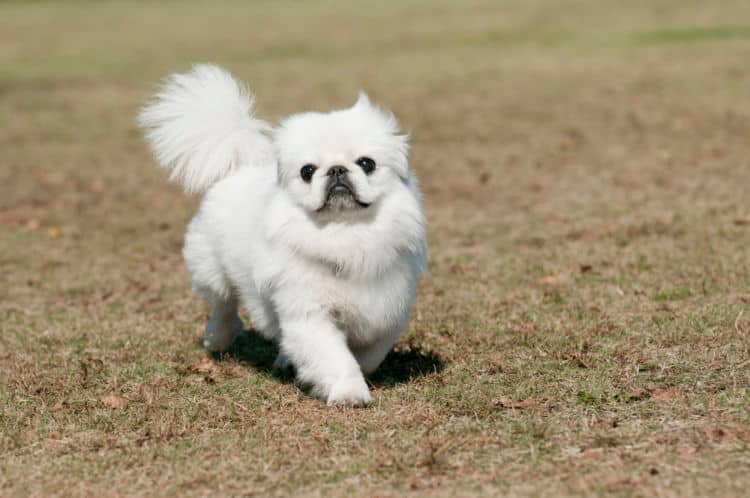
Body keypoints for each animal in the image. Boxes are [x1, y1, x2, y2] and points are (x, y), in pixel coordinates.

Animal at [137, 65, 426, 404]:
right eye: (307, 171)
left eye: (366, 164)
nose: (337, 170)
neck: (345, 234)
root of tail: (239, 168)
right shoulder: (309, 314)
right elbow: (335, 357)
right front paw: (349, 393)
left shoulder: (388, 309)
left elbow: (370, 354)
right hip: (212, 271)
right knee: (224, 306)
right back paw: (216, 339)